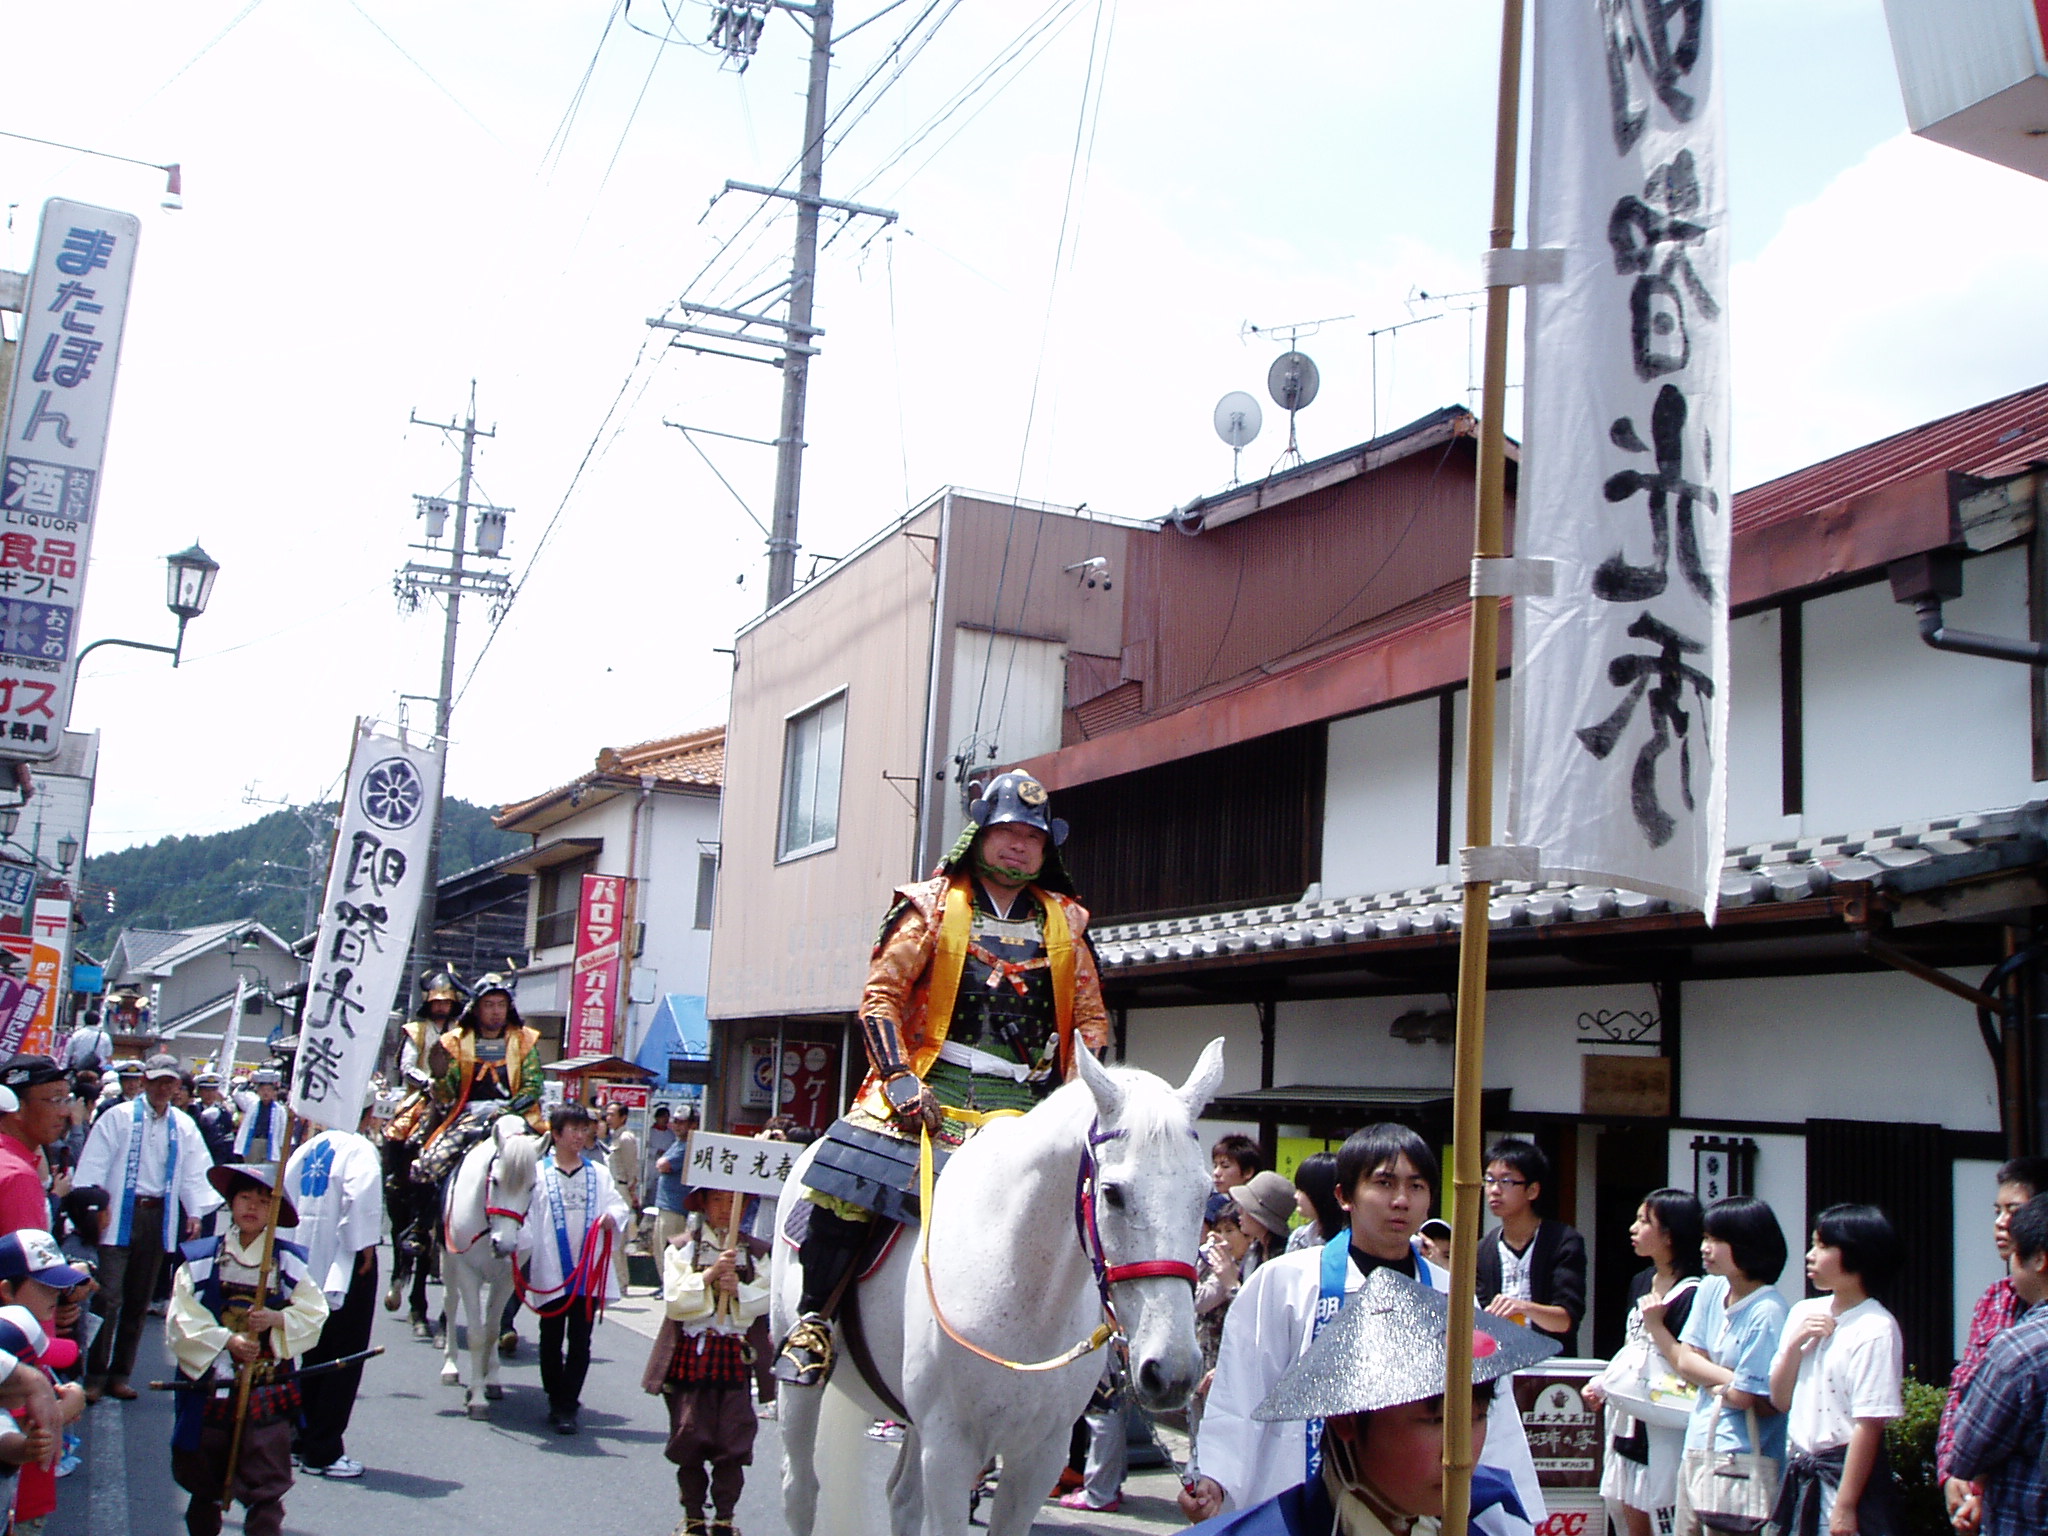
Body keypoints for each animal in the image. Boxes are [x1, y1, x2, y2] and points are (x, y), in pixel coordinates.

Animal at [436, 1114, 540, 1425]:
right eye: (494, 1181)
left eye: (531, 1186)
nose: (503, 1244)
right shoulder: (468, 1271)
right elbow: (475, 1335)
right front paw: (477, 1399)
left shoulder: (506, 1278)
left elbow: (492, 1331)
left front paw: (484, 1383)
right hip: (448, 1262)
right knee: (450, 1303)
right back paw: (450, 1367)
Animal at [770, 1040, 1212, 1536]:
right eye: (1113, 1193)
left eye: (1204, 1193)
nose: (1173, 1372)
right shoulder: (950, 1448)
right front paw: (913, 1099)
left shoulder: (1040, 1455)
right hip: (803, 1378)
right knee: (800, 1487)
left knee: (902, 1497)